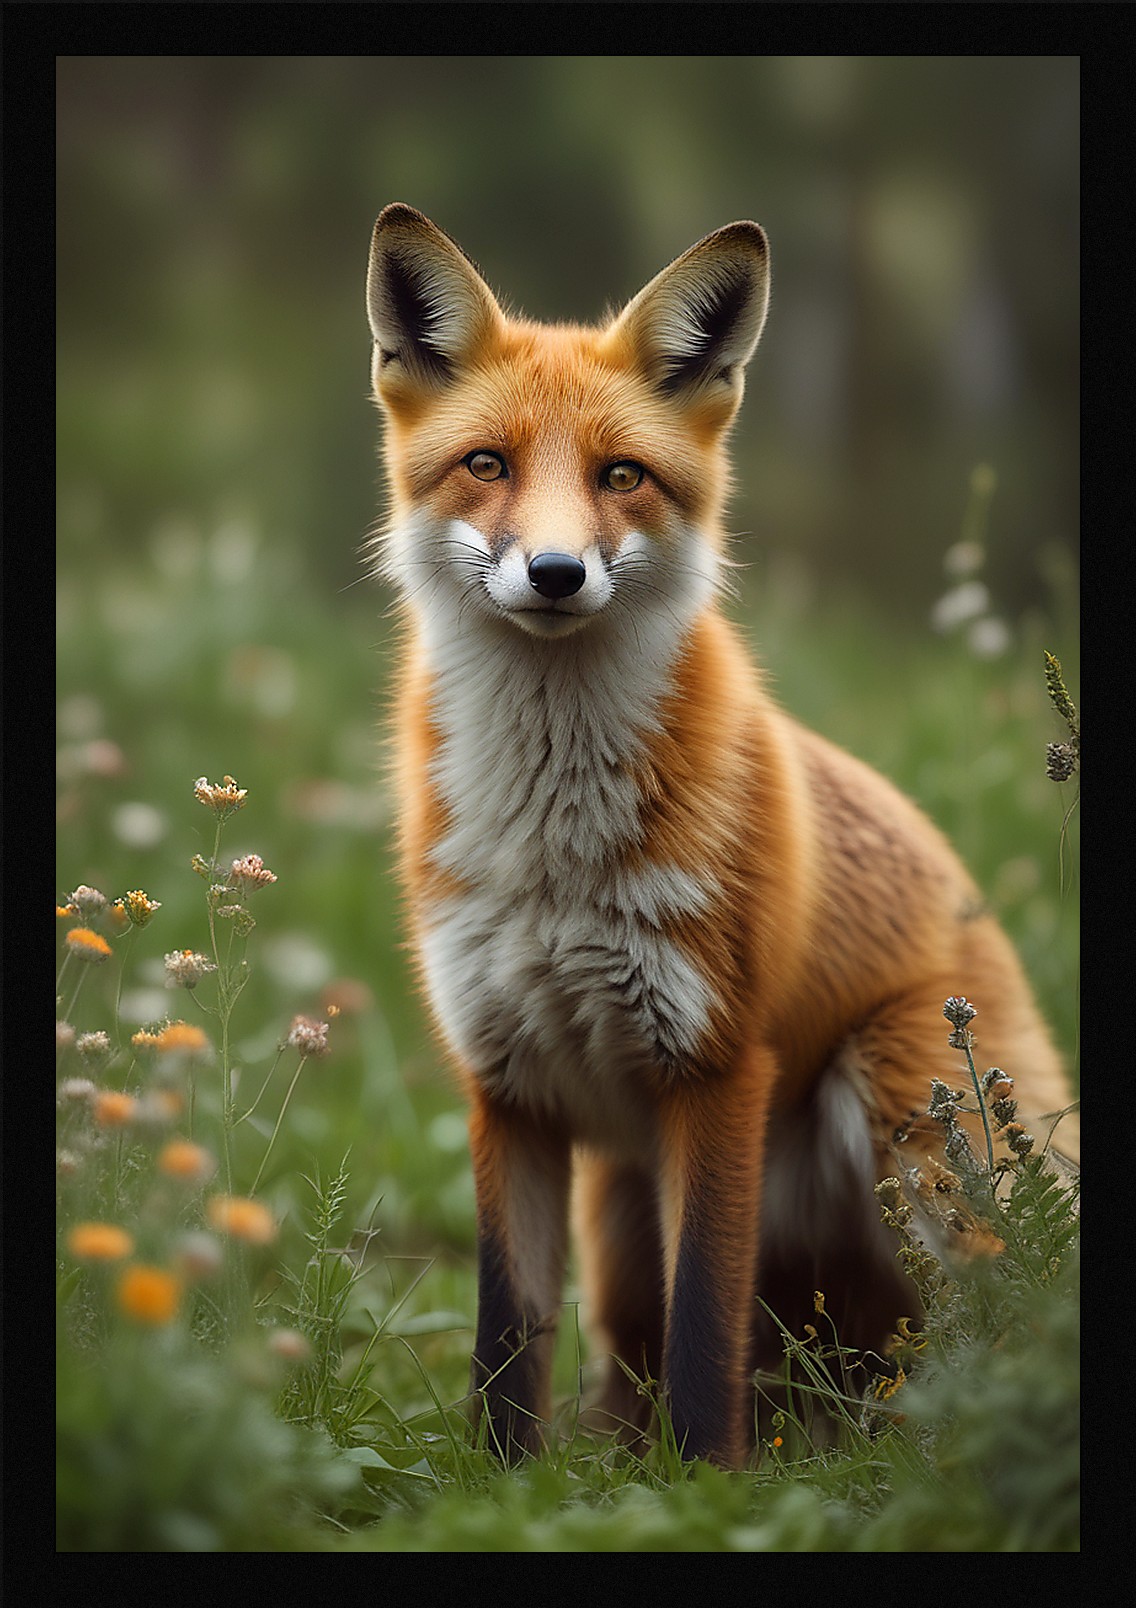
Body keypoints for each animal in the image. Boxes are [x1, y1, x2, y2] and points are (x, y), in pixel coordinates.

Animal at [364, 203, 1078, 1469]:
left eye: (621, 476)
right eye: (487, 464)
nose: (555, 572)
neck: (553, 850)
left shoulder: (713, 1066)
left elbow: (705, 1316)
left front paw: (706, 1483)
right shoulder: (506, 1086)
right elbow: (506, 1332)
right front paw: (501, 1483)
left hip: (908, 1134)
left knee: (997, 1326)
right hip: (617, 1215)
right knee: (630, 1362)